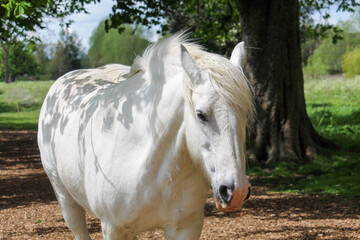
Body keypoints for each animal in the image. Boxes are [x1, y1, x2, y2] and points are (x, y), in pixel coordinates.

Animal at [38, 34, 253, 240]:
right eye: (200, 114)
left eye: (244, 114)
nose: (236, 192)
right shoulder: (113, 229)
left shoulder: (185, 227)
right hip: (66, 198)